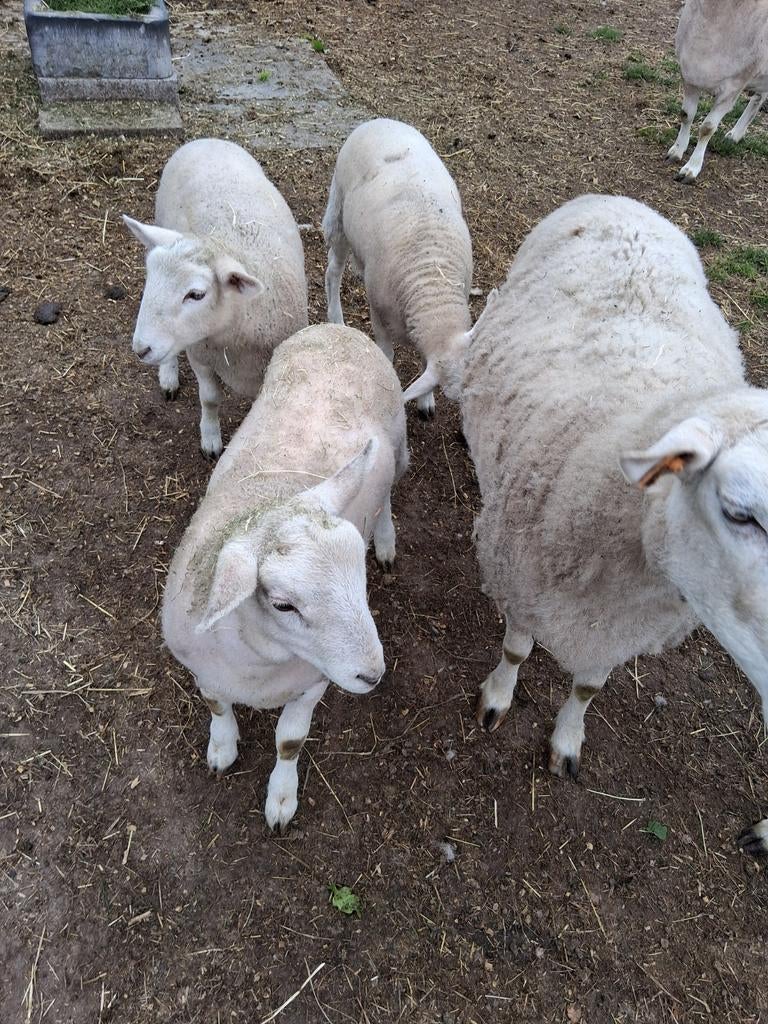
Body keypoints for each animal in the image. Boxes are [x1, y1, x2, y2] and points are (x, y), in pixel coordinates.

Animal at [123, 138, 308, 458]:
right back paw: (168, 375)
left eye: (196, 294)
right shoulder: (200, 354)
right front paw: (210, 440)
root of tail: (204, 140)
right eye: (150, 277)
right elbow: (209, 398)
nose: (141, 349)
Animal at [162, 323, 408, 832]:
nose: (372, 674)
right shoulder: (204, 671)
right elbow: (216, 708)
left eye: (357, 575)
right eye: (283, 605)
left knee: (389, 496)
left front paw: (281, 798)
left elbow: (289, 743)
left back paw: (387, 538)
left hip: (396, 447)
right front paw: (222, 748)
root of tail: (338, 329)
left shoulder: (311, 684)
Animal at [322, 118, 473, 420]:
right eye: (454, 396)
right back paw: (336, 318)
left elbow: (424, 361)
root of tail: (378, 120)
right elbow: (387, 355)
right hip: (339, 214)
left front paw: (425, 400)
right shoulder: (379, 316)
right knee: (333, 271)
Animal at [462, 193, 768, 855]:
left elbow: (587, 689)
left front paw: (567, 741)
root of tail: (621, 202)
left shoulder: (618, 629)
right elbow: (515, 650)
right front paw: (497, 697)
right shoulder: (520, 584)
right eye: (738, 511)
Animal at [666, 0, 768, 182]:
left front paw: (691, 169)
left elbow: (707, 128)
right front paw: (677, 151)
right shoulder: (690, 78)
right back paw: (735, 135)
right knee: (759, 97)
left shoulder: (732, 88)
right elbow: (686, 115)